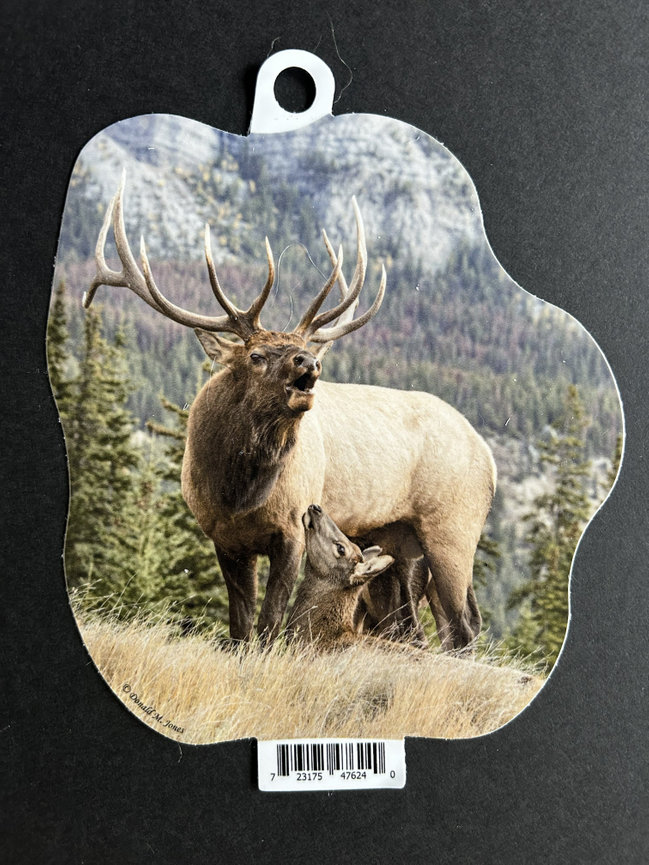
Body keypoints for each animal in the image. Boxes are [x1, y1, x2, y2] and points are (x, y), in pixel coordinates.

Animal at [86, 174, 496, 651]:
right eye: (257, 355)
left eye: (300, 349)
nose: (309, 361)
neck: (238, 493)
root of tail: (489, 458)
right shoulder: (224, 538)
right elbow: (240, 625)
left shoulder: (292, 531)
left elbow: (269, 623)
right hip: (399, 544)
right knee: (417, 627)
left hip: (454, 529)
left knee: (463, 625)